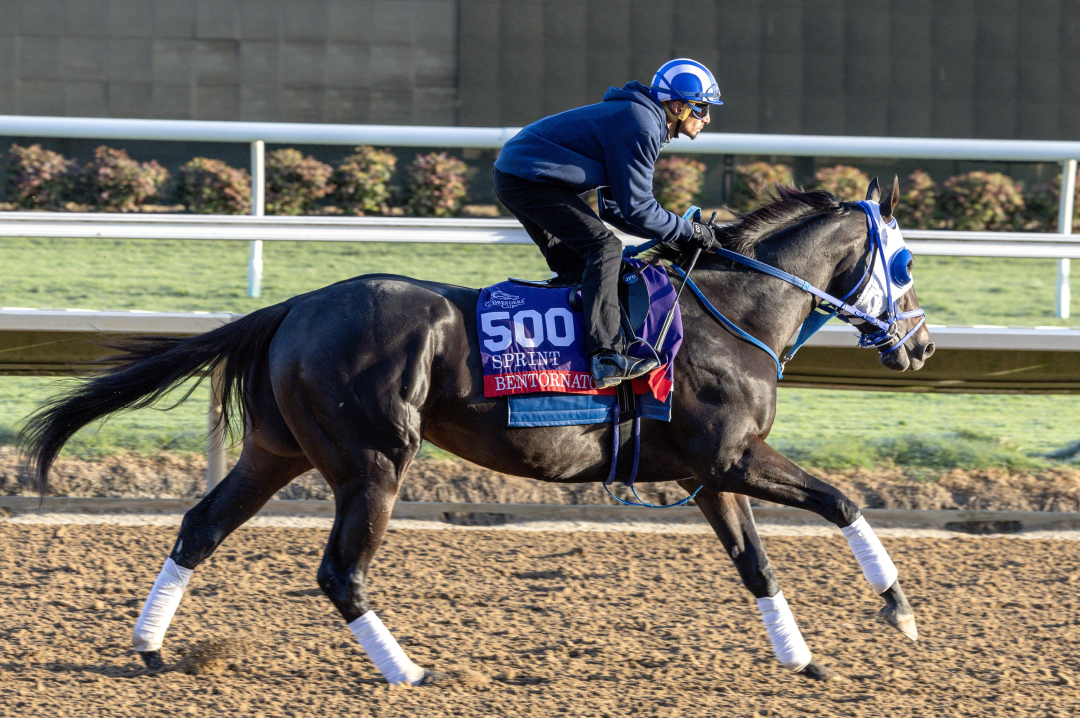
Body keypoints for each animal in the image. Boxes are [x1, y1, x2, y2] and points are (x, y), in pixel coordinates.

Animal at [16, 175, 933, 682]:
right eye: (906, 261)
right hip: (373, 460)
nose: (921, 345)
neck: (731, 315)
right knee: (339, 573)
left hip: (279, 449)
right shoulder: (735, 456)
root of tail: (295, 307)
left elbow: (756, 565)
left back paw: (151, 649)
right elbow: (843, 502)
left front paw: (803, 658)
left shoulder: (705, 474)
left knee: (201, 526)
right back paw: (409, 673)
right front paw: (899, 610)